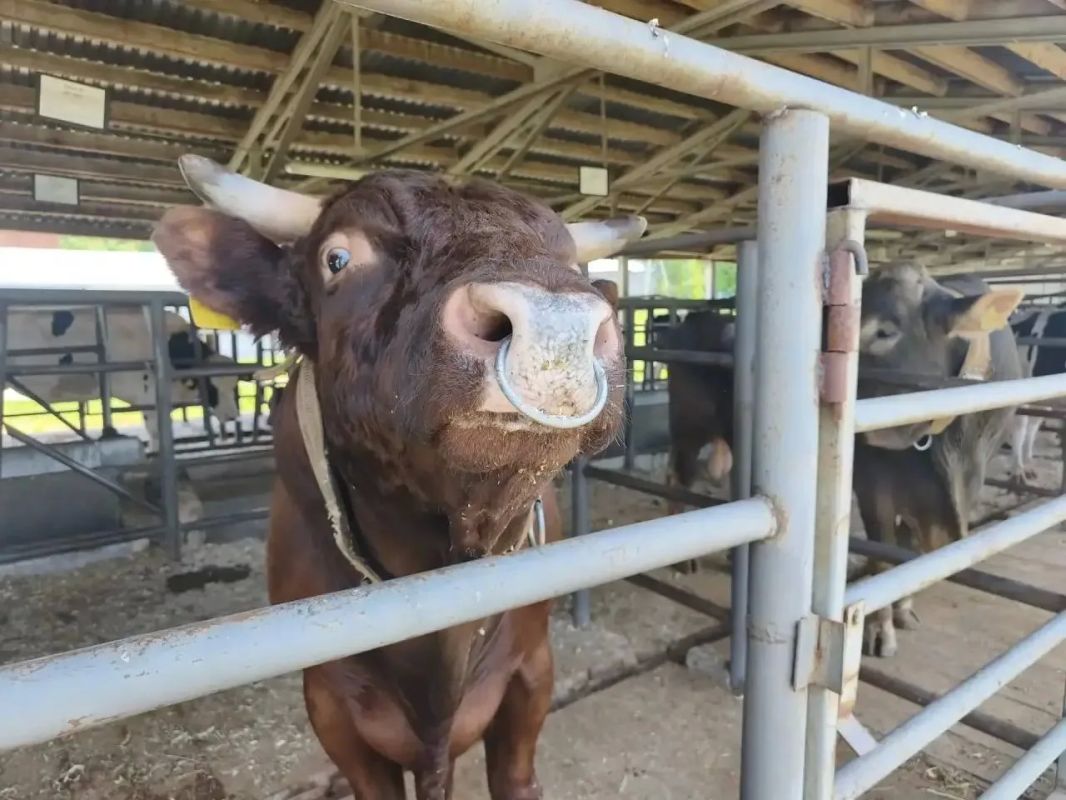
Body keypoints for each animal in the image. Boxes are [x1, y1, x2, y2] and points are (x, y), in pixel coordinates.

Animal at [152, 155, 640, 800]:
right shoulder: (331, 706)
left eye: (567, 260)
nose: (556, 326)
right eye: (337, 258)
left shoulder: (532, 669)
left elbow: (515, 777)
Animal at [855, 264, 1023, 657]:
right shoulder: (870, 481)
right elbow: (882, 550)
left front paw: (903, 608)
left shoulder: (969, 479)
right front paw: (880, 630)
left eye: (884, 332)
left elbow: (914, 551)